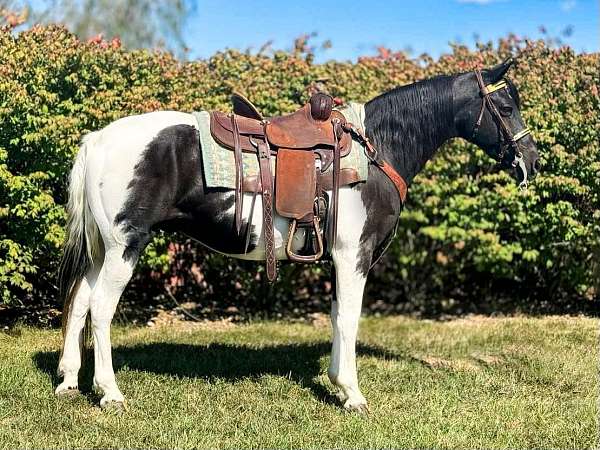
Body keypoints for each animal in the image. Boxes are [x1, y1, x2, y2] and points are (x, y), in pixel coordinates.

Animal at [57, 59, 540, 412]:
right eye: (506, 106)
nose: (531, 160)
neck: (375, 151)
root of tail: (97, 139)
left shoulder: (339, 261)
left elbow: (336, 316)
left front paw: (337, 383)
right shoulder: (353, 257)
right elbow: (349, 319)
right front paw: (353, 395)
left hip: (103, 250)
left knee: (80, 301)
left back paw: (68, 380)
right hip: (126, 245)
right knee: (101, 309)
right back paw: (110, 392)